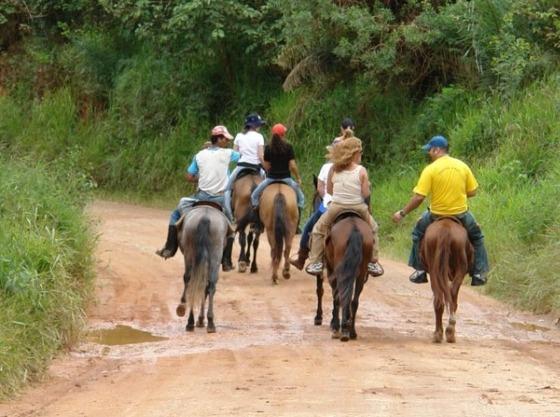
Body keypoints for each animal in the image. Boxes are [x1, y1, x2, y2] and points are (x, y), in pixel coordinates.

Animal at [174, 203, 229, 334]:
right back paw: (209, 323)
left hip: (191, 254)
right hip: (214, 256)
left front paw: (199, 319)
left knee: (191, 281)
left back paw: (190, 321)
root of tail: (205, 218)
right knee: (210, 285)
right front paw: (201, 319)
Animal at [322, 214, 374, 342]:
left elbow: (336, 298)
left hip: (339, 271)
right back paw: (352, 332)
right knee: (354, 301)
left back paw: (341, 330)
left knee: (340, 297)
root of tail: (354, 229)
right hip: (361, 272)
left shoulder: (331, 271)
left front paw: (335, 326)